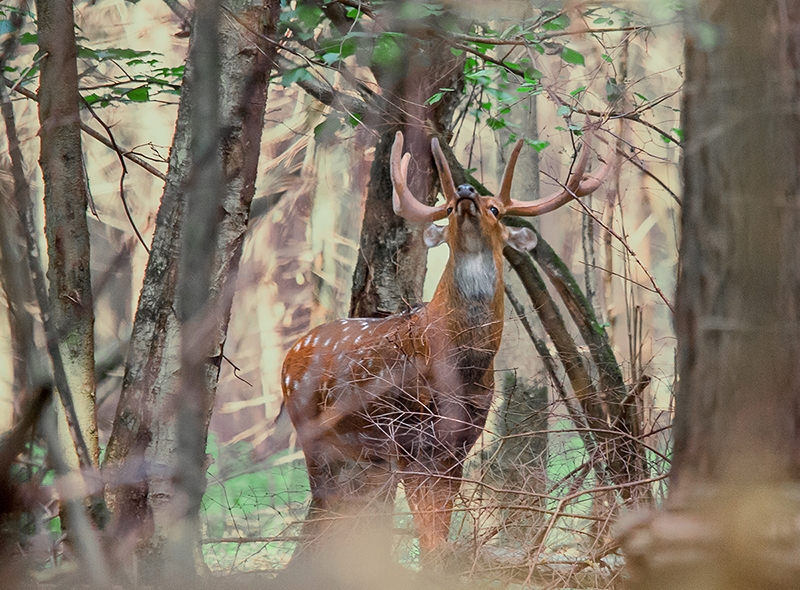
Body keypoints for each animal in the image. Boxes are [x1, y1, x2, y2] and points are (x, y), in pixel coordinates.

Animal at [282, 128, 612, 564]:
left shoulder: (462, 438)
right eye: (453, 205)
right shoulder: (407, 431)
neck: (465, 364)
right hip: (312, 431)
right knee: (325, 506)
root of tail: (289, 354)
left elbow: (441, 518)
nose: (467, 191)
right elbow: (427, 525)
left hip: (362, 454)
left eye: (495, 209)